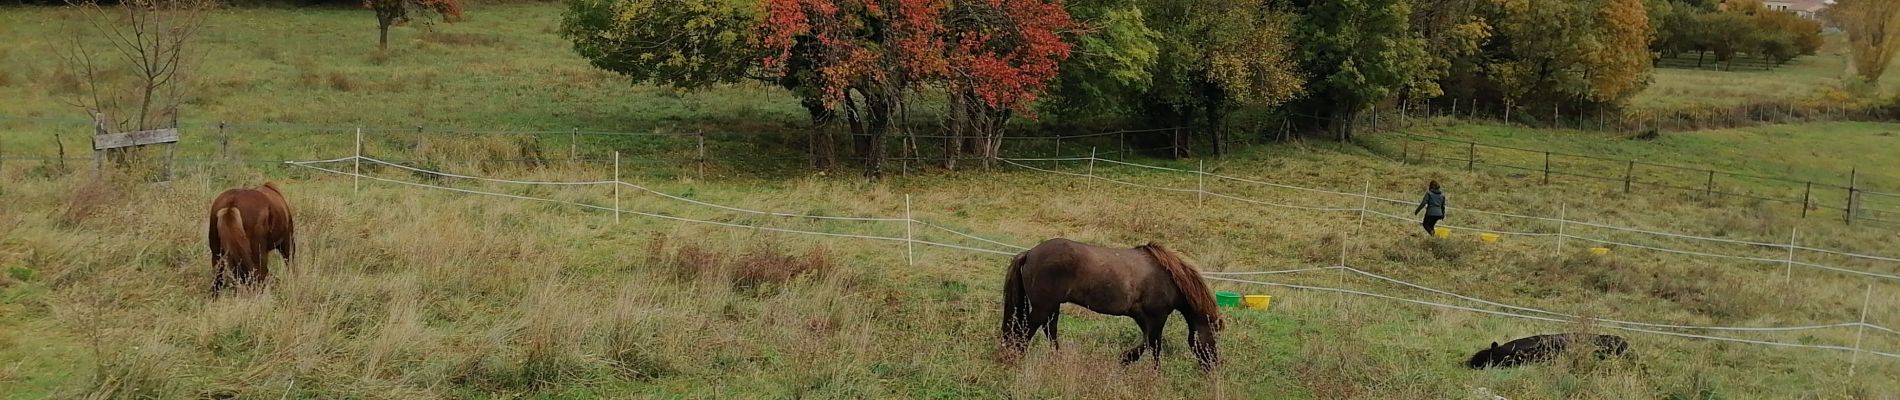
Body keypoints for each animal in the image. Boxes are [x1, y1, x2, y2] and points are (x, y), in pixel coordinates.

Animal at [1003, 237, 1223, 371]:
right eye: (1212, 337)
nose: (1213, 367)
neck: (1167, 276)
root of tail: (1029, 253)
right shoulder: (1157, 317)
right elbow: (1154, 345)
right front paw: (1148, 370)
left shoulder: (1144, 318)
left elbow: (1148, 343)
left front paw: (1128, 361)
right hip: (1043, 308)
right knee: (1025, 333)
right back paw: (1015, 360)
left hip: (1052, 307)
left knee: (1050, 331)